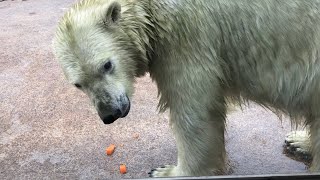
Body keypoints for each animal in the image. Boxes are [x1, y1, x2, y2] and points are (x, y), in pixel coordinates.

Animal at [53, 0, 320, 177]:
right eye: (78, 84)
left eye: (107, 65)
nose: (109, 114)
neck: (151, 12)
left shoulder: (187, 36)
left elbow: (195, 111)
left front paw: (166, 171)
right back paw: (299, 141)